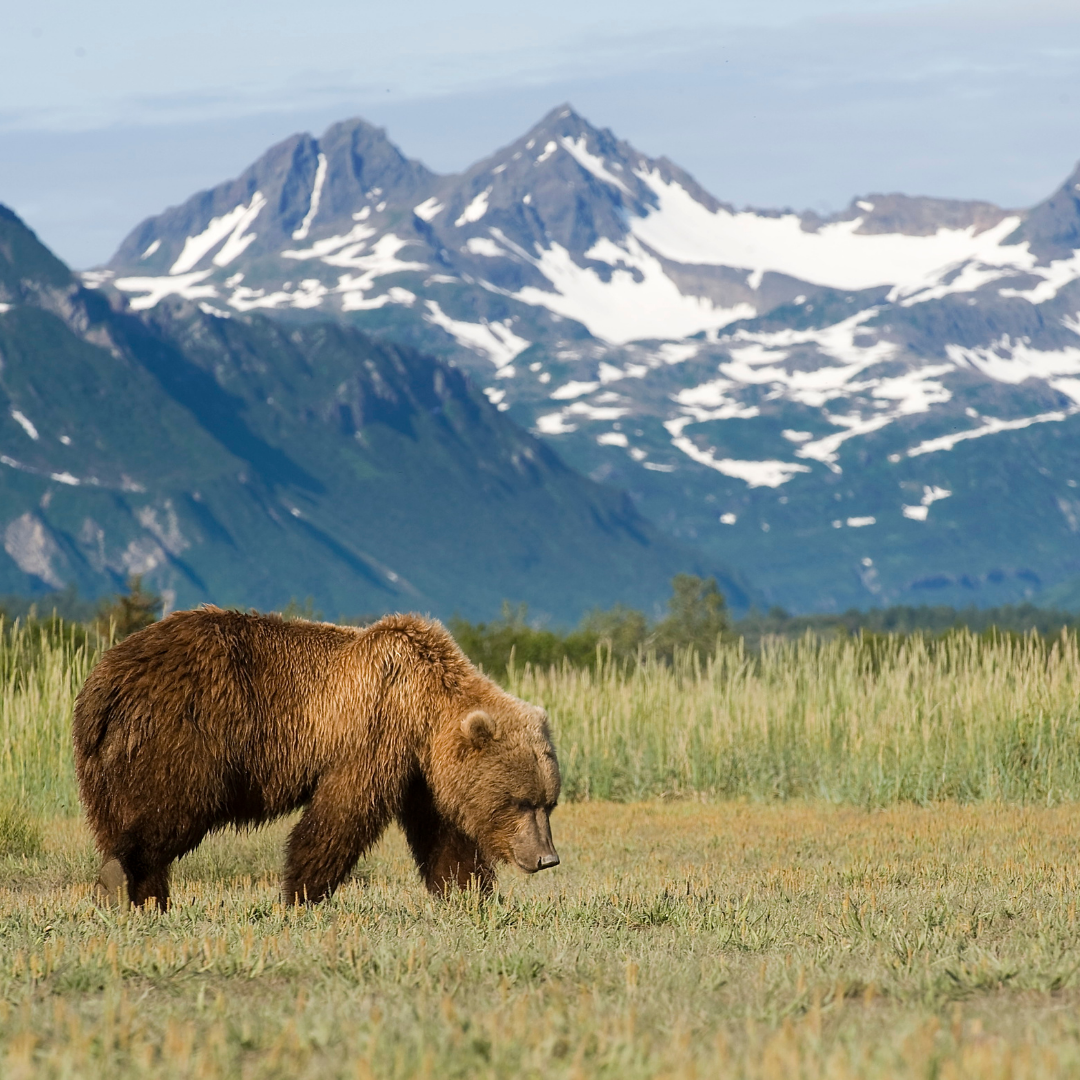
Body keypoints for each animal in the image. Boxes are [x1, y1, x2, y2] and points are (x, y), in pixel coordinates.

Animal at [72, 608, 560, 907]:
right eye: (520, 801)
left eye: (548, 803)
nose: (547, 858)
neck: (424, 708)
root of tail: (105, 679)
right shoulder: (374, 729)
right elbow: (340, 816)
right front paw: (300, 894)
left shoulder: (422, 773)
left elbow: (444, 836)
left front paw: (472, 894)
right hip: (186, 734)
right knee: (168, 810)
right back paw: (122, 881)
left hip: (110, 756)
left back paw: (143, 895)